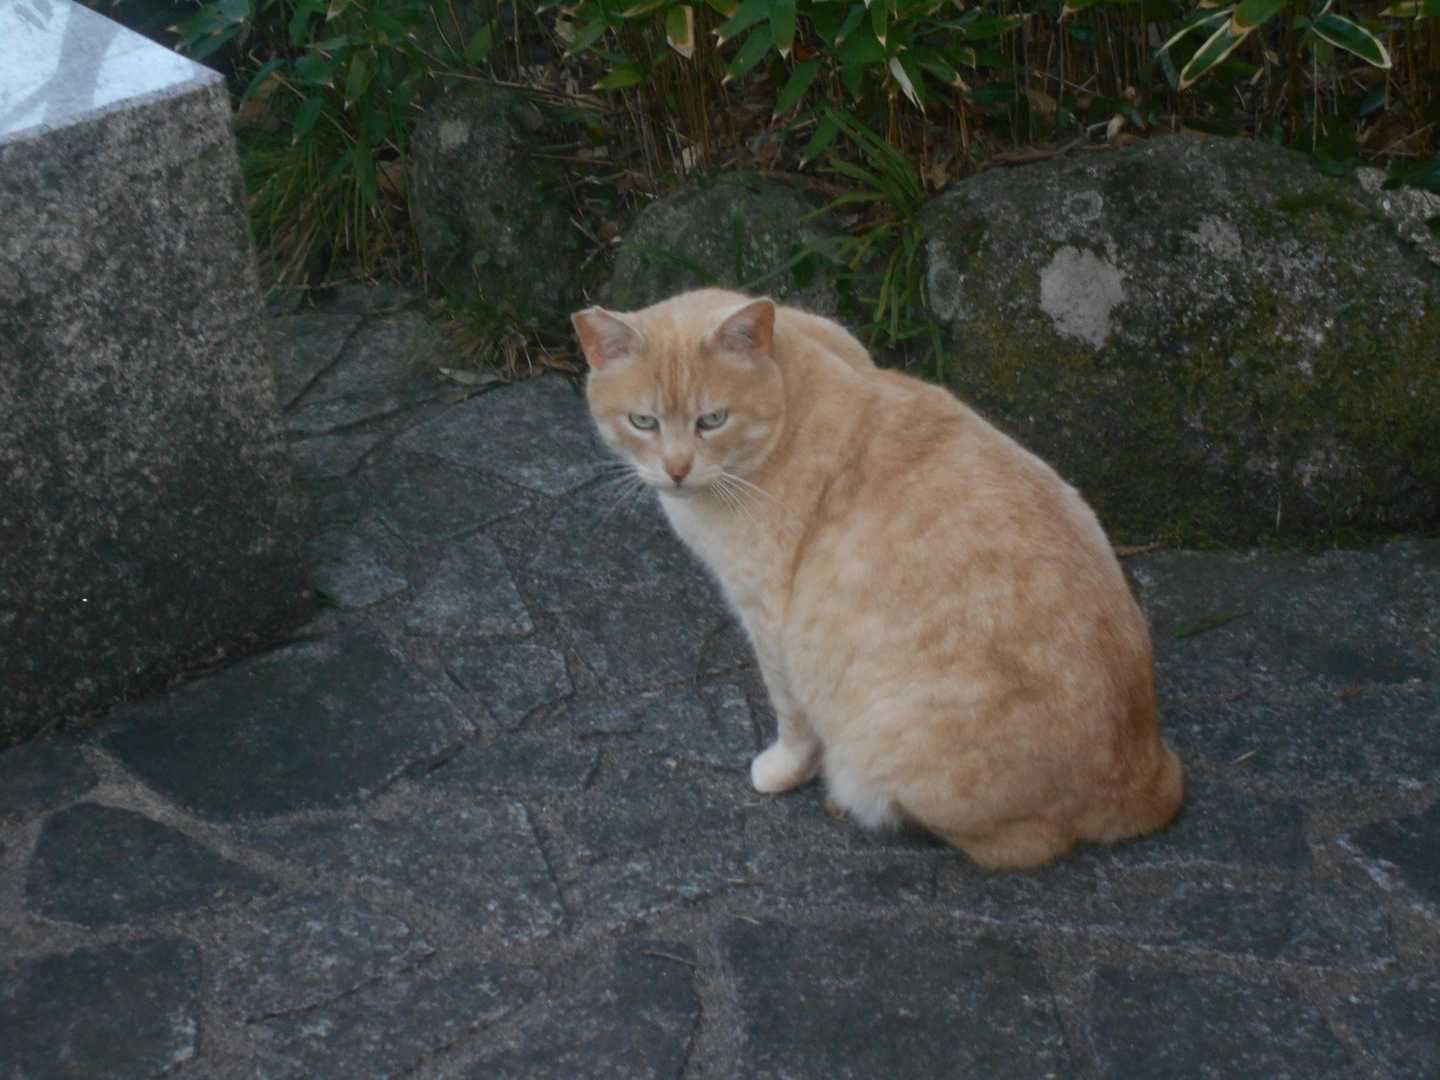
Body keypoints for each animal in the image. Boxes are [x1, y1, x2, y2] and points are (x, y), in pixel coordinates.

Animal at [573, 288, 1183, 869]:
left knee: (1022, 844)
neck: (791, 389)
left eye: (712, 421)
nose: (676, 470)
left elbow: (790, 714)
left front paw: (783, 769)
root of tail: (1148, 772)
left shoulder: (771, 621)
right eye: (644, 422)